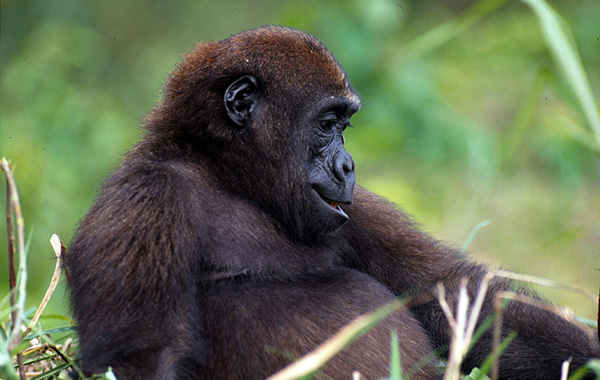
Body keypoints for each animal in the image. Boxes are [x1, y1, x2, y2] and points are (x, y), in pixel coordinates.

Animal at [67, 26, 600, 380]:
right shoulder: (146, 194)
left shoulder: (356, 209)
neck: (224, 172)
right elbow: (144, 353)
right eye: (328, 124)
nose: (348, 166)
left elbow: (464, 299)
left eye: (346, 125)